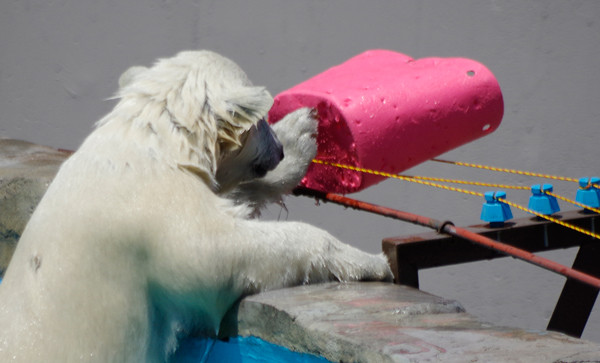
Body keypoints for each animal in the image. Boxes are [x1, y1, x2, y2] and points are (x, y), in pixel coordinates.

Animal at [0, 49, 392, 362]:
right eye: (262, 120)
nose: (278, 150)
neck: (153, 144)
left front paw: (300, 133)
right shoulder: (154, 206)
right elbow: (218, 251)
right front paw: (370, 262)